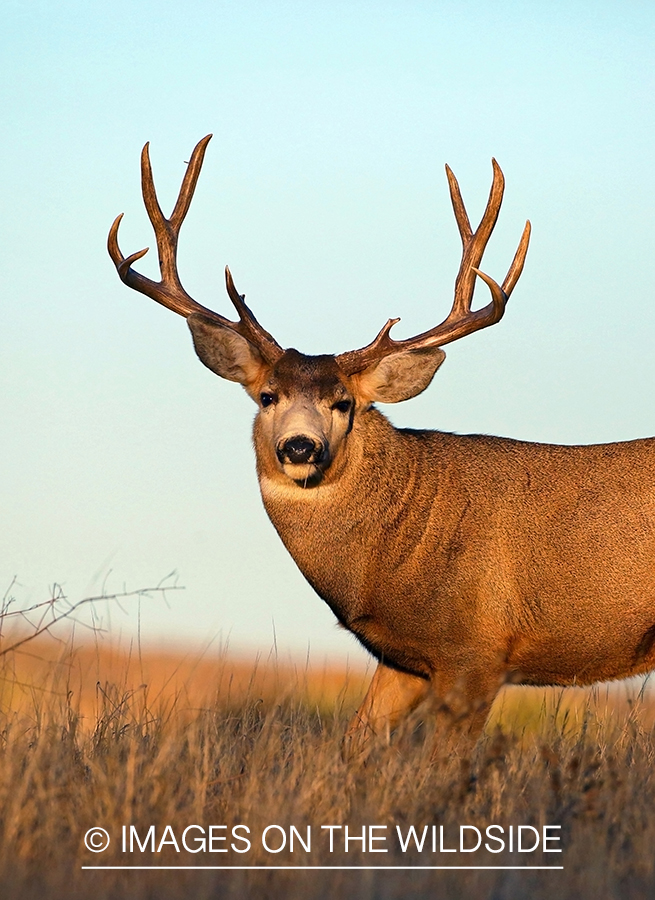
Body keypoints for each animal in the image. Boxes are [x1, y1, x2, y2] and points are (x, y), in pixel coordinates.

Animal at [107, 135, 655, 760]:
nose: (300, 447)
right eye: (268, 396)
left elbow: (444, 766)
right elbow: (354, 743)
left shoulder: (477, 652)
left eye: (344, 403)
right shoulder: (404, 661)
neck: (400, 548)